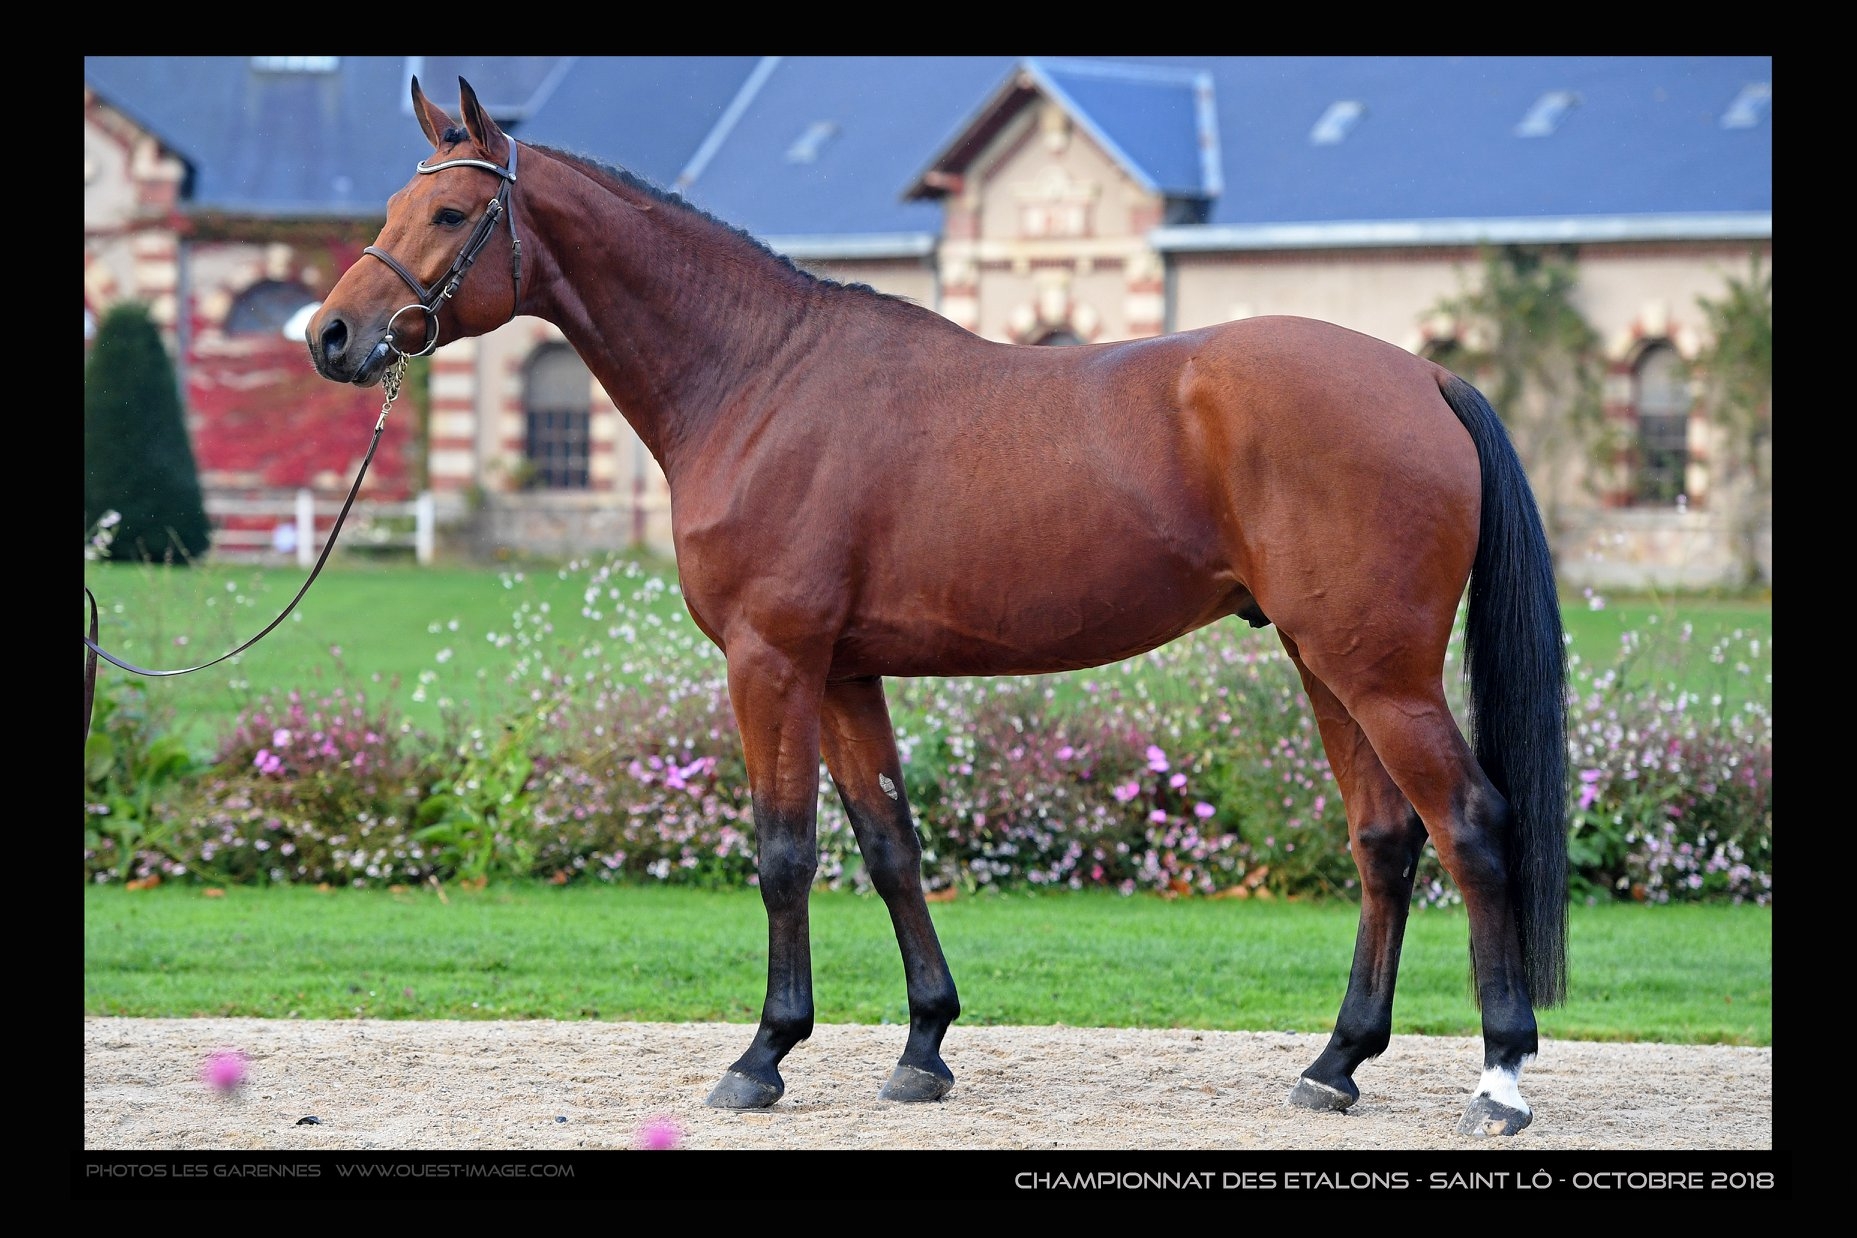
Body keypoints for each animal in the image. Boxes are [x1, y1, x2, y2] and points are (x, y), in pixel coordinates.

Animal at [304, 77, 1567, 1135]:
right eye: (395, 203)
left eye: (453, 211)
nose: (330, 335)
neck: (760, 377)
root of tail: (1423, 375)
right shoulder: (845, 670)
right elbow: (890, 845)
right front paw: (922, 1044)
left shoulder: (771, 660)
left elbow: (785, 850)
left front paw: (763, 1054)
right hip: (1324, 659)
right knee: (1386, 838)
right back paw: (1335, 1061)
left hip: (1379, 669)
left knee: (1472, 823)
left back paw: (1500, 1077)